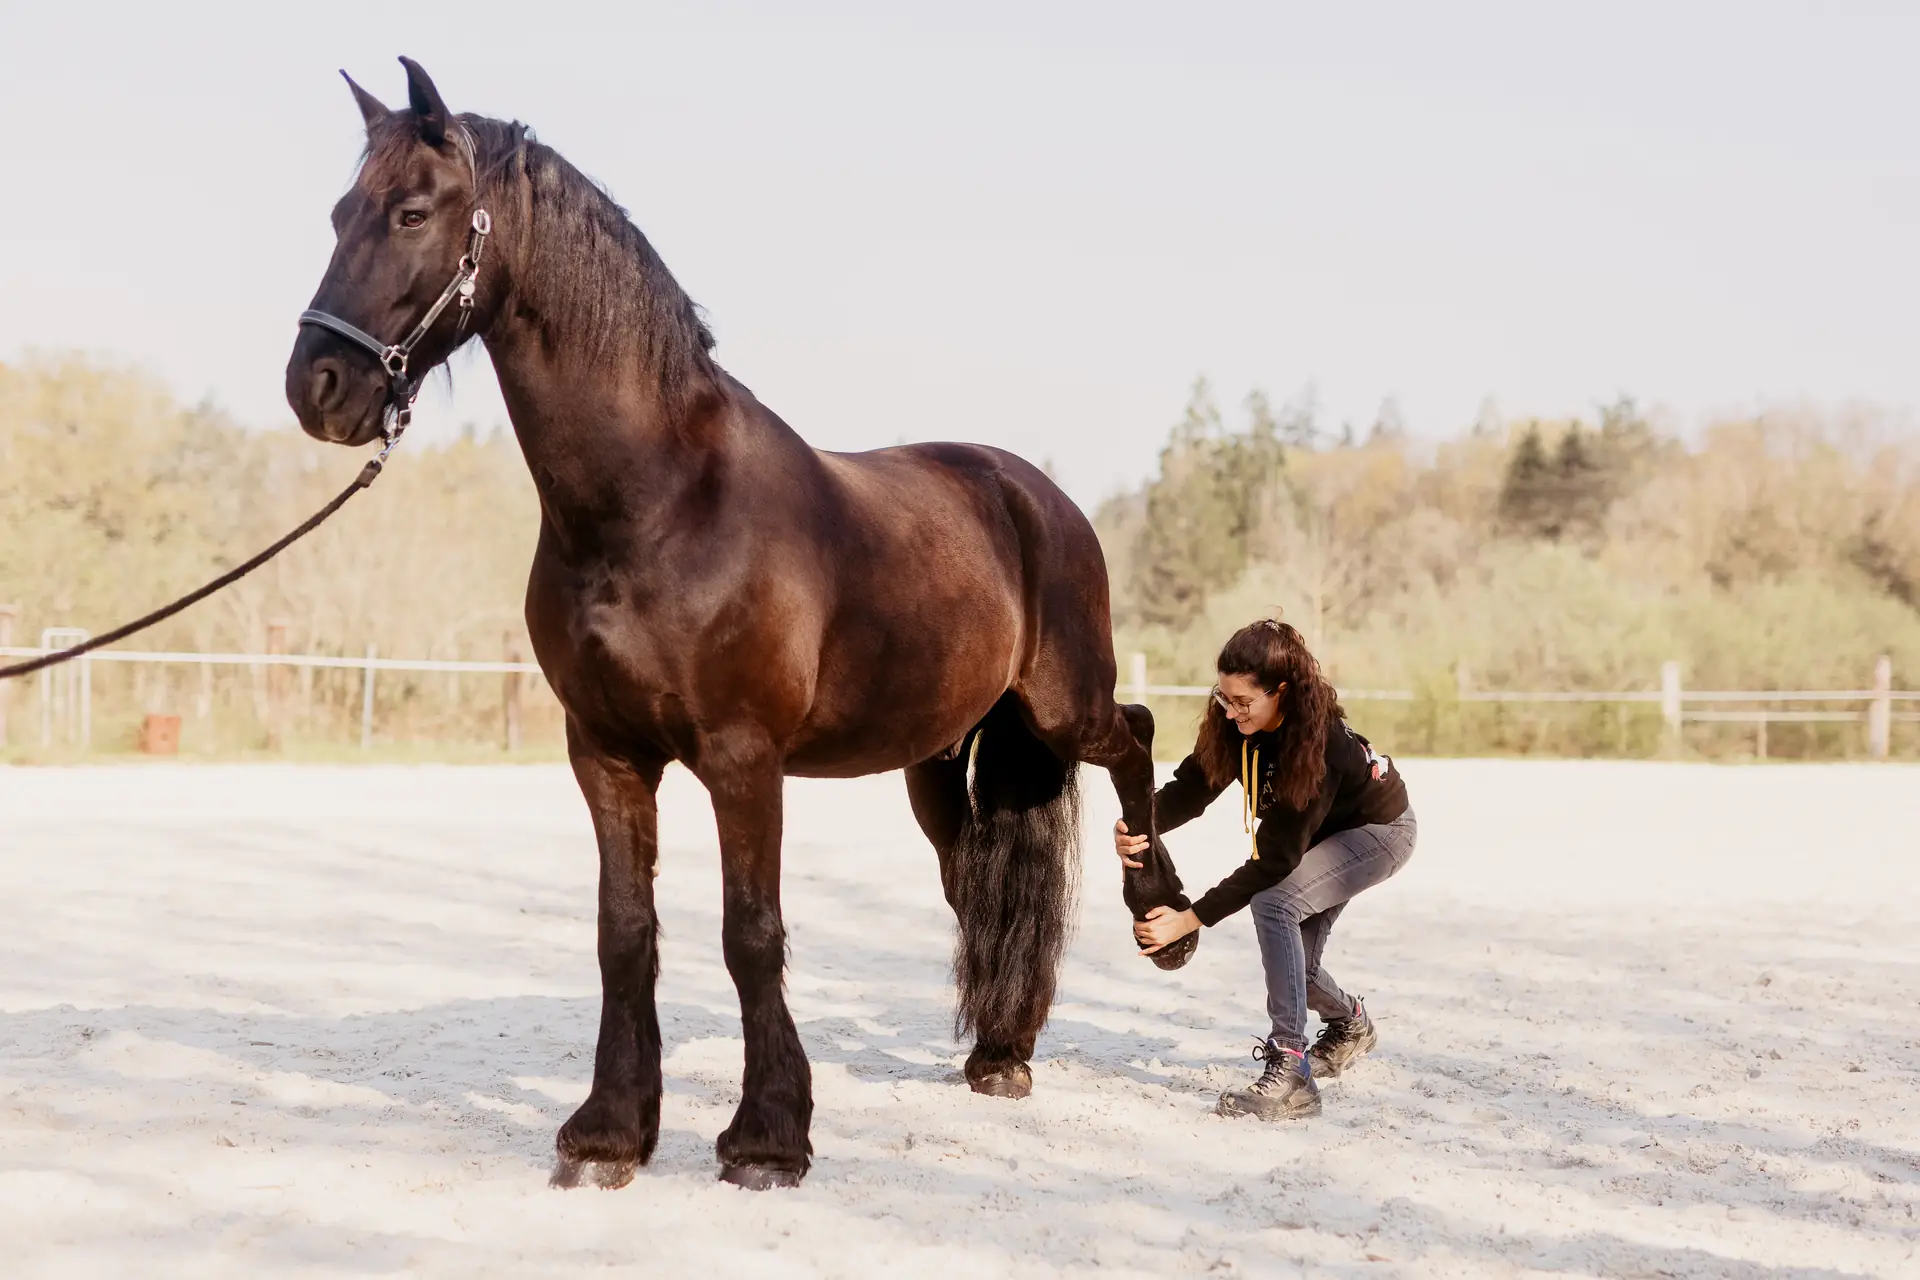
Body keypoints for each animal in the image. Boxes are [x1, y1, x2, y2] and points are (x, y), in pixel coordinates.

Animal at [284, 57, 1196, 1191]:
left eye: (412, 210)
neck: (660, 501)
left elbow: (750, 932)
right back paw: (1001, 1049)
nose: (317, 387)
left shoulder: (741, 757)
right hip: (937, 760)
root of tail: (1035, 494)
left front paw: (767, 1137)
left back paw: (1163, 923)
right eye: (338, 213)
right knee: (978, 880)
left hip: (1063, 705)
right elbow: (624, 932)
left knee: (1139, 735)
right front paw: (608, 1132)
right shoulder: (607, 752)